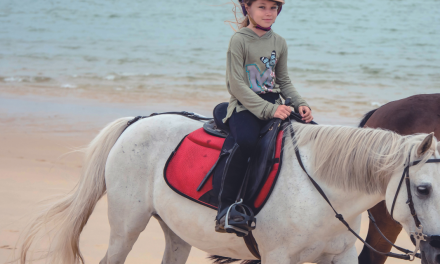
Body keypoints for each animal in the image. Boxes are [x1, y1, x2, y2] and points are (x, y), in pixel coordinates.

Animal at [17, 115, 440, 264]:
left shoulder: (339, 257)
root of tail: (137, 120)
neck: (322, 193)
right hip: (126, 227)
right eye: (422, 189)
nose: (436, 248)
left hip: (176, 233)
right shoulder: (277, 259)